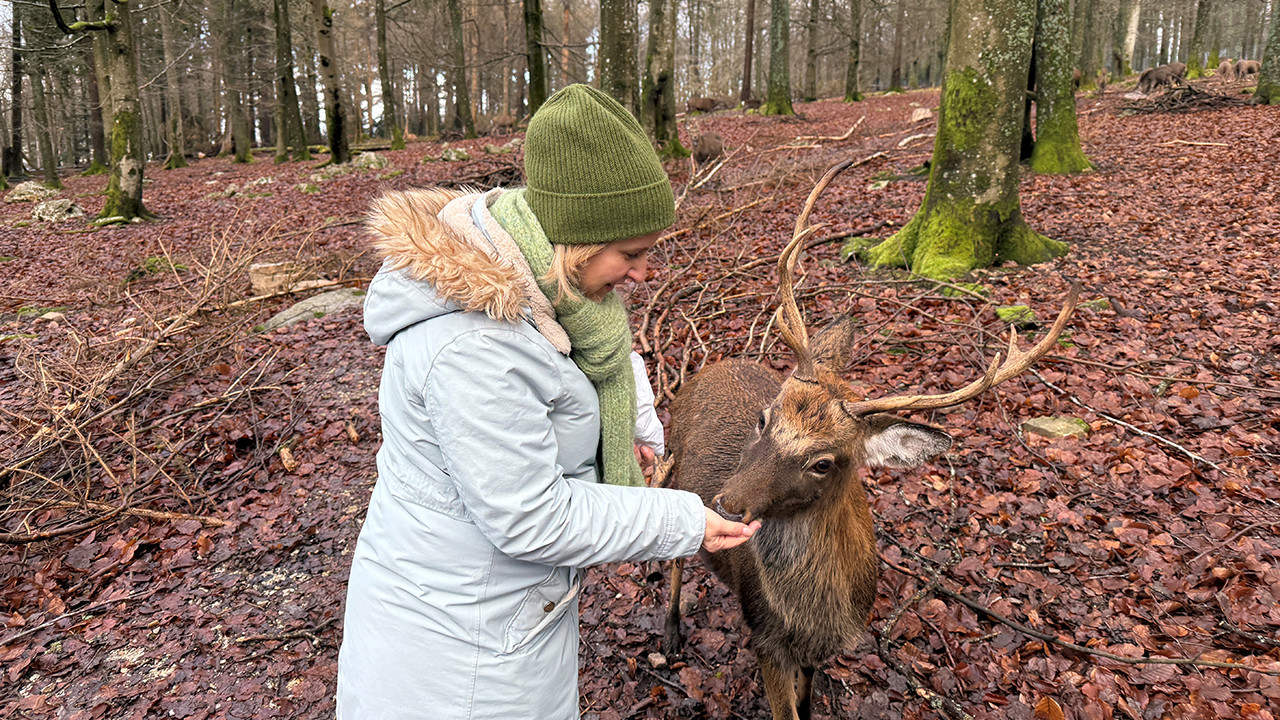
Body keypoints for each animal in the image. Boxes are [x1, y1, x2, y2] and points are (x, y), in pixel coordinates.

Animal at [660, 161, 1080, 717]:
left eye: (824, 461)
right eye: (764, 419)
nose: (724, 504)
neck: (817, 619)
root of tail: (705, 368)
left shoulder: (819, 652)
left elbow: (808, 703)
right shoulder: (764, 638)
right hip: (668, 459)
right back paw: (669, 634)